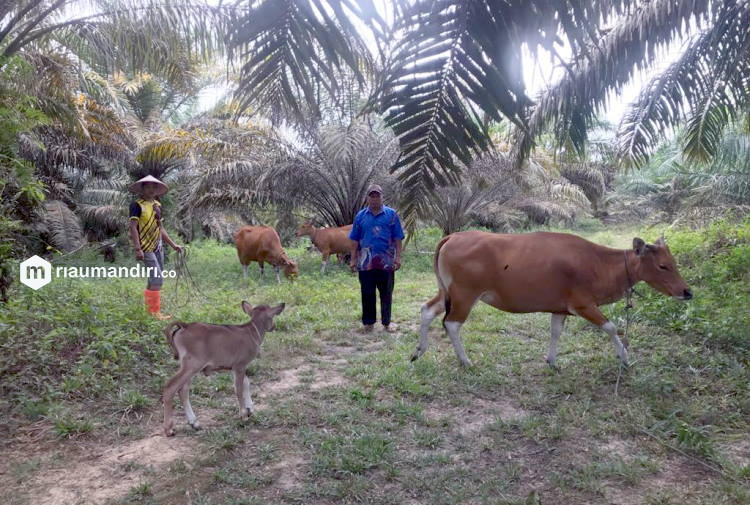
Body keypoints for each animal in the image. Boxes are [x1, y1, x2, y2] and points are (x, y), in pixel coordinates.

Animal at [164, 302, 284, 436]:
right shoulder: (240, 364)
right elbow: (238, 388)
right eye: (272, 316)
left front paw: (250, 409)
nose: (274, 326)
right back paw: (169, 429)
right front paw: (244, 415)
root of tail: (185, 326)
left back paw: (194, 423)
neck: (252, 331)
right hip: (192, 365)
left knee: (183, 390)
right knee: (171, 386)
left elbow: (246, 383)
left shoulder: (235, 366)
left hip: (188, 366)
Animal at [414, 231, 696, 366]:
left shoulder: (561, 308)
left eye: (673, 262)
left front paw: (551, 361)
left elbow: (555, 332)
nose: (687, 292)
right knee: (452, 324)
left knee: (427, 310)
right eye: (662, 266)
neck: (599, 263)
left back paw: (419, 351)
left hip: (447, 291)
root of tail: (454, 236)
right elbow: (611, 327)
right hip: (464, 294)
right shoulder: (582, 304)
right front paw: (624, 358)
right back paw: (465, 360)